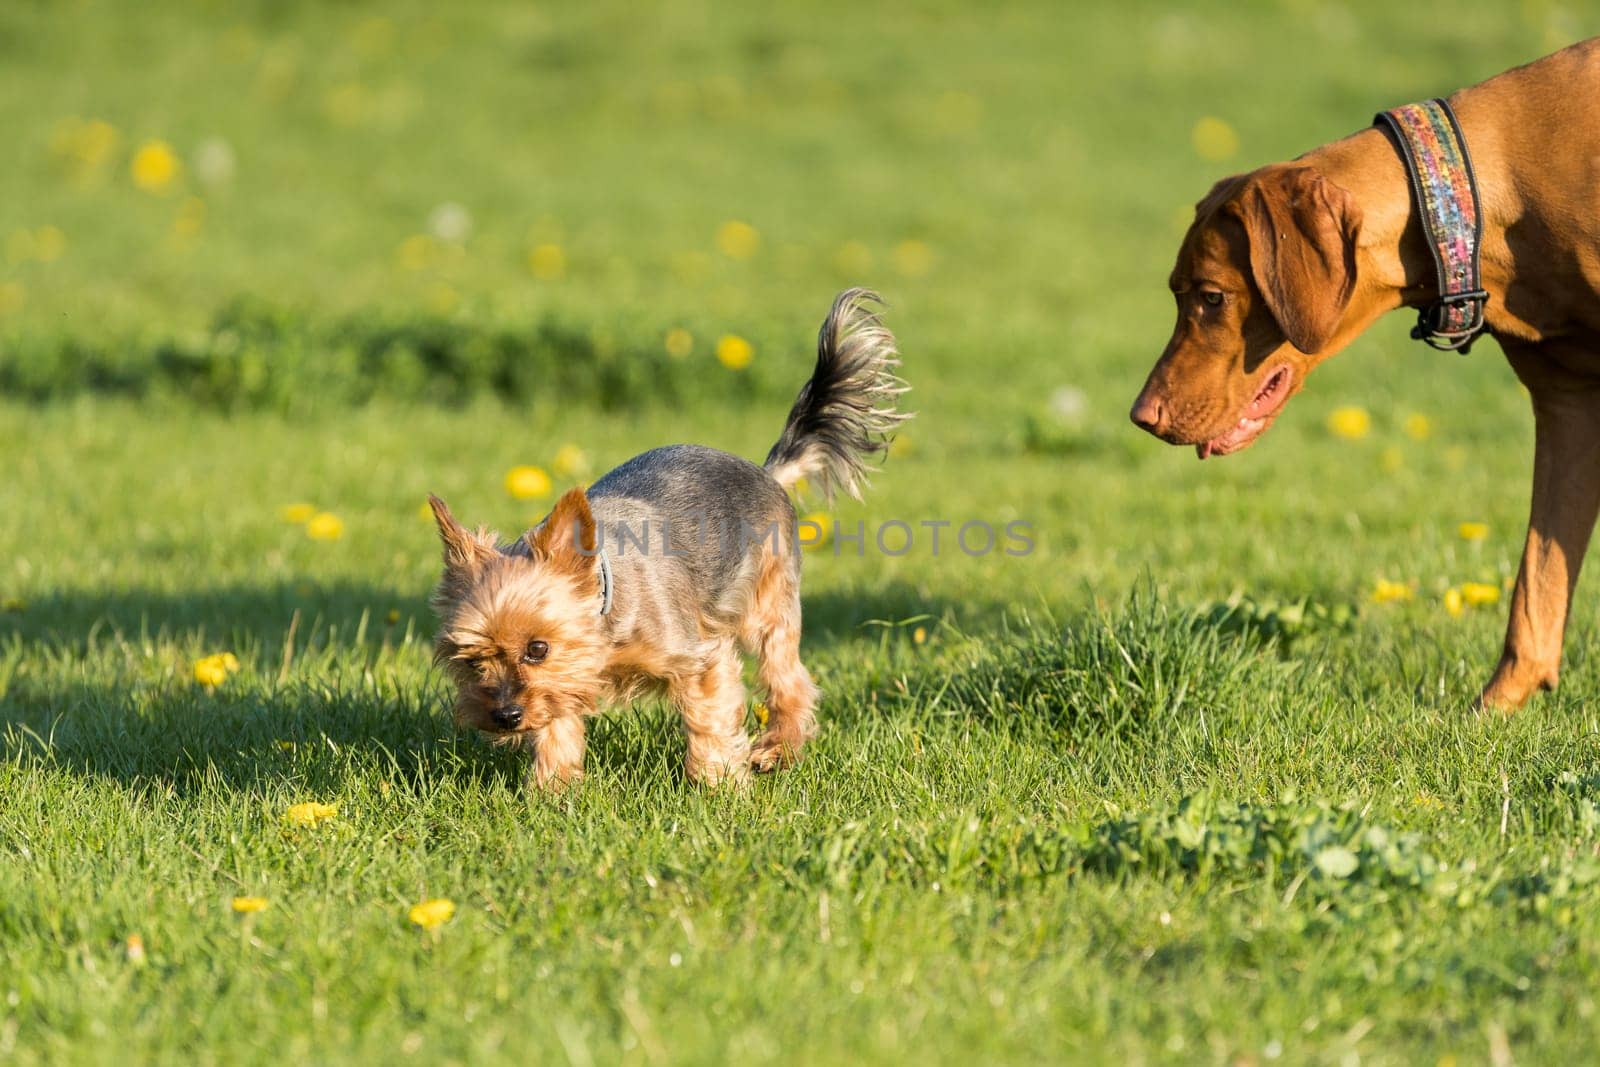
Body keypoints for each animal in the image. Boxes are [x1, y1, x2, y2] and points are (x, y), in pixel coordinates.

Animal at [1132, 39, 1600, 710]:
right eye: (1177, 292)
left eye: (1212, 297)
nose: (1140, 416)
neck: (1472, 196)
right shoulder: (1569, 404)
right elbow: (1537, 586)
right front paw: (1491, 713)